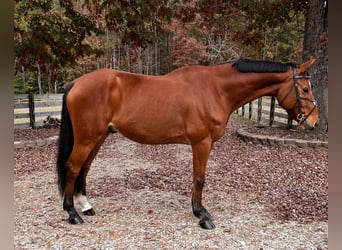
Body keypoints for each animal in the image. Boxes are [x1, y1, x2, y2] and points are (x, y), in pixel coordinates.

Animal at [57, 57, 320, 229]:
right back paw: (73, 214)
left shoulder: (205, 144)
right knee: (72, 167)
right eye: (305, 88)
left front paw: (197, 210)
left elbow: (197, 178)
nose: (314, 121)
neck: (216, 89)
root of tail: (76, 83)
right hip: (87, 138)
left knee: (84, 169)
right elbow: (200, 178)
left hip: (99, 137)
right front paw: (203, 215)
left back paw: (85, 206)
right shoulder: (201, 142)